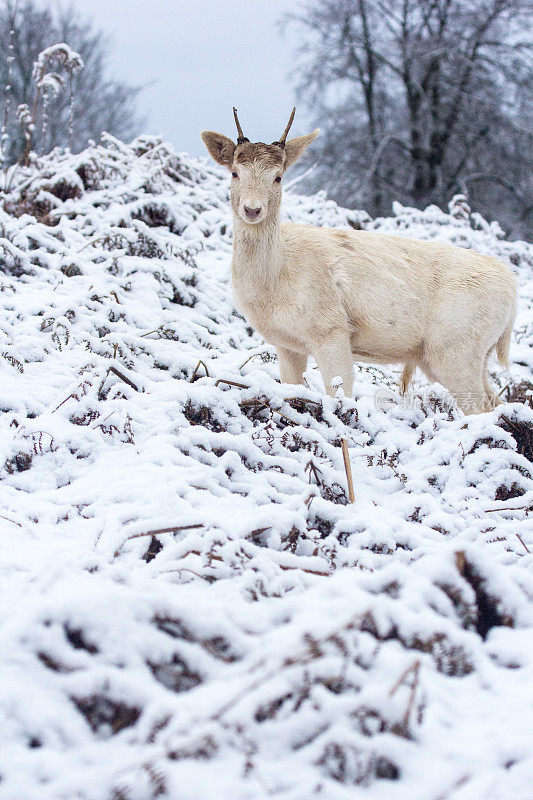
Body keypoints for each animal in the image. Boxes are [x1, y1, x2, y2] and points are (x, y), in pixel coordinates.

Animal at [201, 108, 516, 416]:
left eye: (278, 177)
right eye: (234, 173)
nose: (252, 209)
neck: (276, 282)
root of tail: (513, 293)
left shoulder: (332, 329)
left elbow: (340, 392)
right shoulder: (287, 343)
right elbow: (292, 387)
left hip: (455, 348)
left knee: (482, 406)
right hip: (464, 354)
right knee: (495, 402)